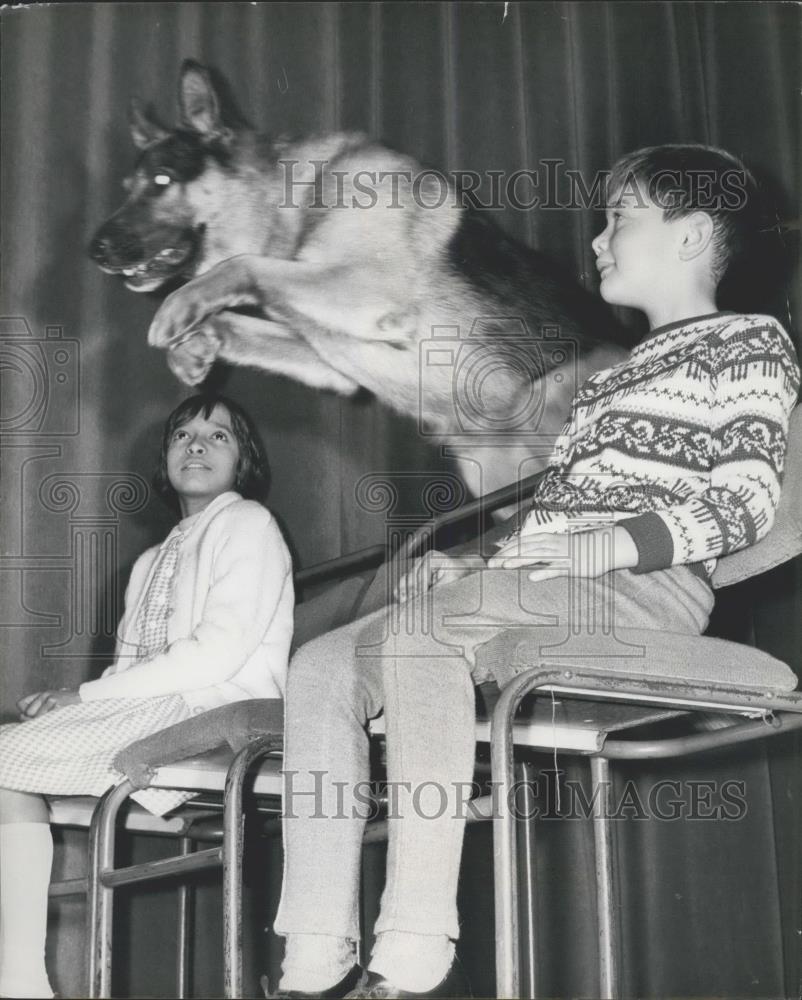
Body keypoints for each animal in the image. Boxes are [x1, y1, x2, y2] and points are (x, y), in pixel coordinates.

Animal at [90, 59, 628, 496]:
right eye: (127, 187)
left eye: (162, 181)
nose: (94, 249)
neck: (297, 198)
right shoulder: (330, 356)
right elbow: (243, 318)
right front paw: (194, 345)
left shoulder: (368, 284)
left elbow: (242, 265)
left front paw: (178, 308)